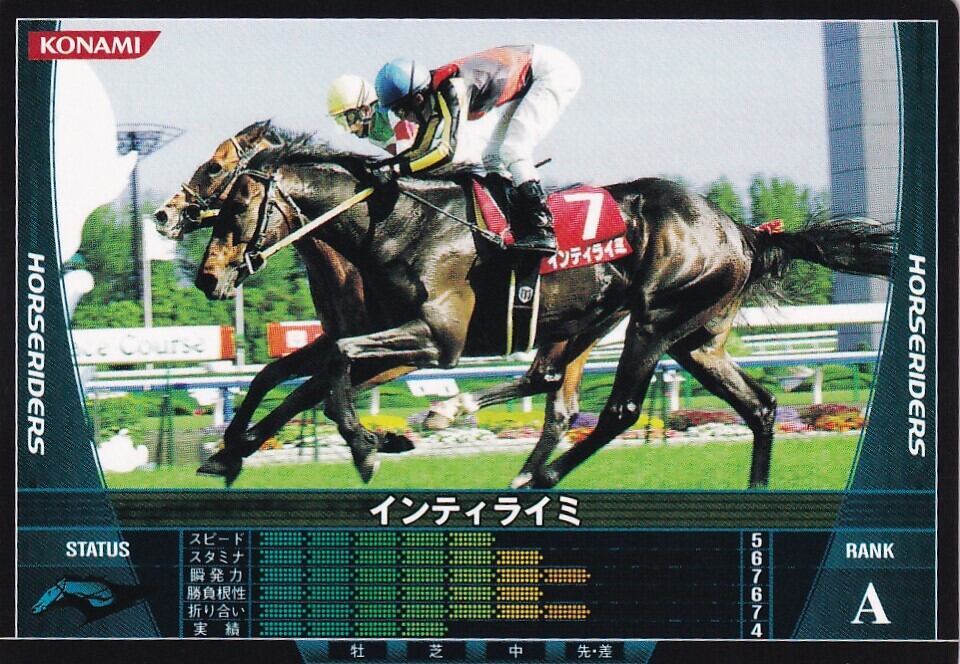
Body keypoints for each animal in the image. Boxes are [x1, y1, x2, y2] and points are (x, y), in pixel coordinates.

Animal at [195, 141, 895, 488]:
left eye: (236, 206)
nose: (209, 277)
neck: (397, 223)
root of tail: (740, 232)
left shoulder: (436, 339)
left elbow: (328, 369)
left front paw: (369, 447)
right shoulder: (379, 332)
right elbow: (280, 373)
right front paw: (228, 452)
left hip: (653, 318)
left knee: (618, 410)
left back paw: (540, 474)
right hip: (690, 338)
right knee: (759, 407)